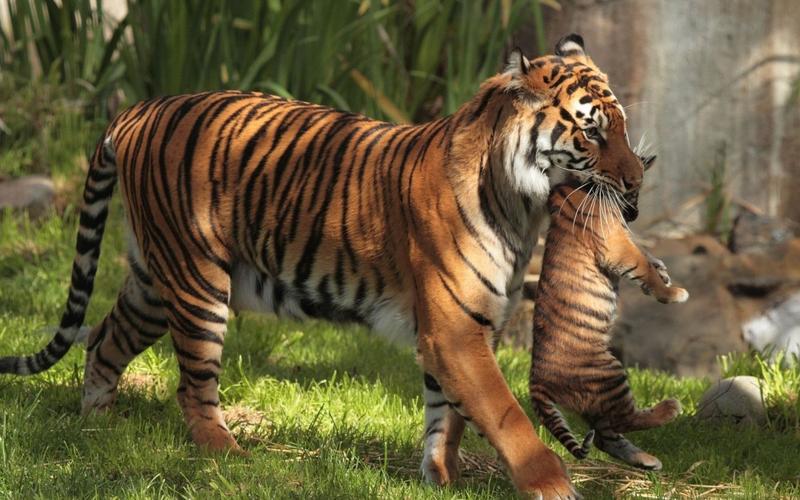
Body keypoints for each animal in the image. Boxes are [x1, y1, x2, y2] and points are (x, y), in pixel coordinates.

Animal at [1, 34, 645, 498]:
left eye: (624, 127)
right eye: (592, 132)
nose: (638, 181)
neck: (521, 206)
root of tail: (137, 109)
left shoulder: (464, 326)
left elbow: (449, 414)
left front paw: (441, 478)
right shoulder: (455, 328)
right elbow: (504, 414)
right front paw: (552, 486)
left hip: (155, 281)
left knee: (102, 338)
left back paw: (98, 425)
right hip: (197, 282)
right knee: (192, 385)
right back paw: (226, 455)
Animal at [530, 163, 689, 471]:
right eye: (635, 189)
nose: (634, 215)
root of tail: (536, 381)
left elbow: (647, 256)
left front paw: (663, 270)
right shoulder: (618, 247)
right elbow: (643, 267)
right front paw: (672, 292)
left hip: (597, 399)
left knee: (607, 437)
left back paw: (647, 460)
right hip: (608, 374)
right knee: (624, 420)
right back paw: (669, 409)